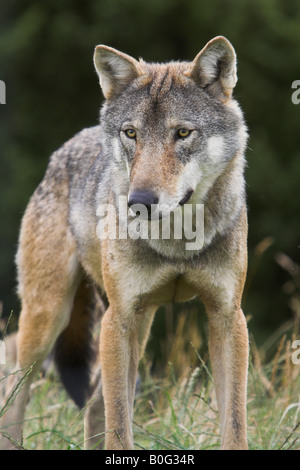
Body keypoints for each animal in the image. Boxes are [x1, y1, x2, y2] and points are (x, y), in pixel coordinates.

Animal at [0, 35, 248, 448]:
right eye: (131, 133)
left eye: (183, 133)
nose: (140, 201)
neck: (176, 242)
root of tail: (67, 145)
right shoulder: (119, 319)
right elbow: (119, 424)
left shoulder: (228, 316)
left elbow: (234, 422)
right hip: (50, 317)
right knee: (15, 390)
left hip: (137, 325)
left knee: (92, 404)